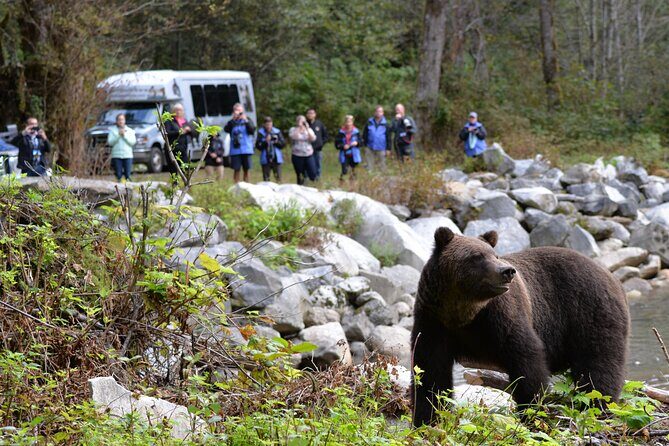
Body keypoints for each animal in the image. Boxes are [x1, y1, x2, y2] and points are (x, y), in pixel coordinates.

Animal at [411, 227, 630, 427]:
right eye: (476, 256)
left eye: (494, 254)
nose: (506, 271)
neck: (464, 313)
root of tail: (612, 277)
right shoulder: (433, 321)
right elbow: (429, 372)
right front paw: (426, 419)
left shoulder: (502, 317)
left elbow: (526, 359)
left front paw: (531, 413)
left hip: (590, 311)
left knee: (598, 366)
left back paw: (597, 408)